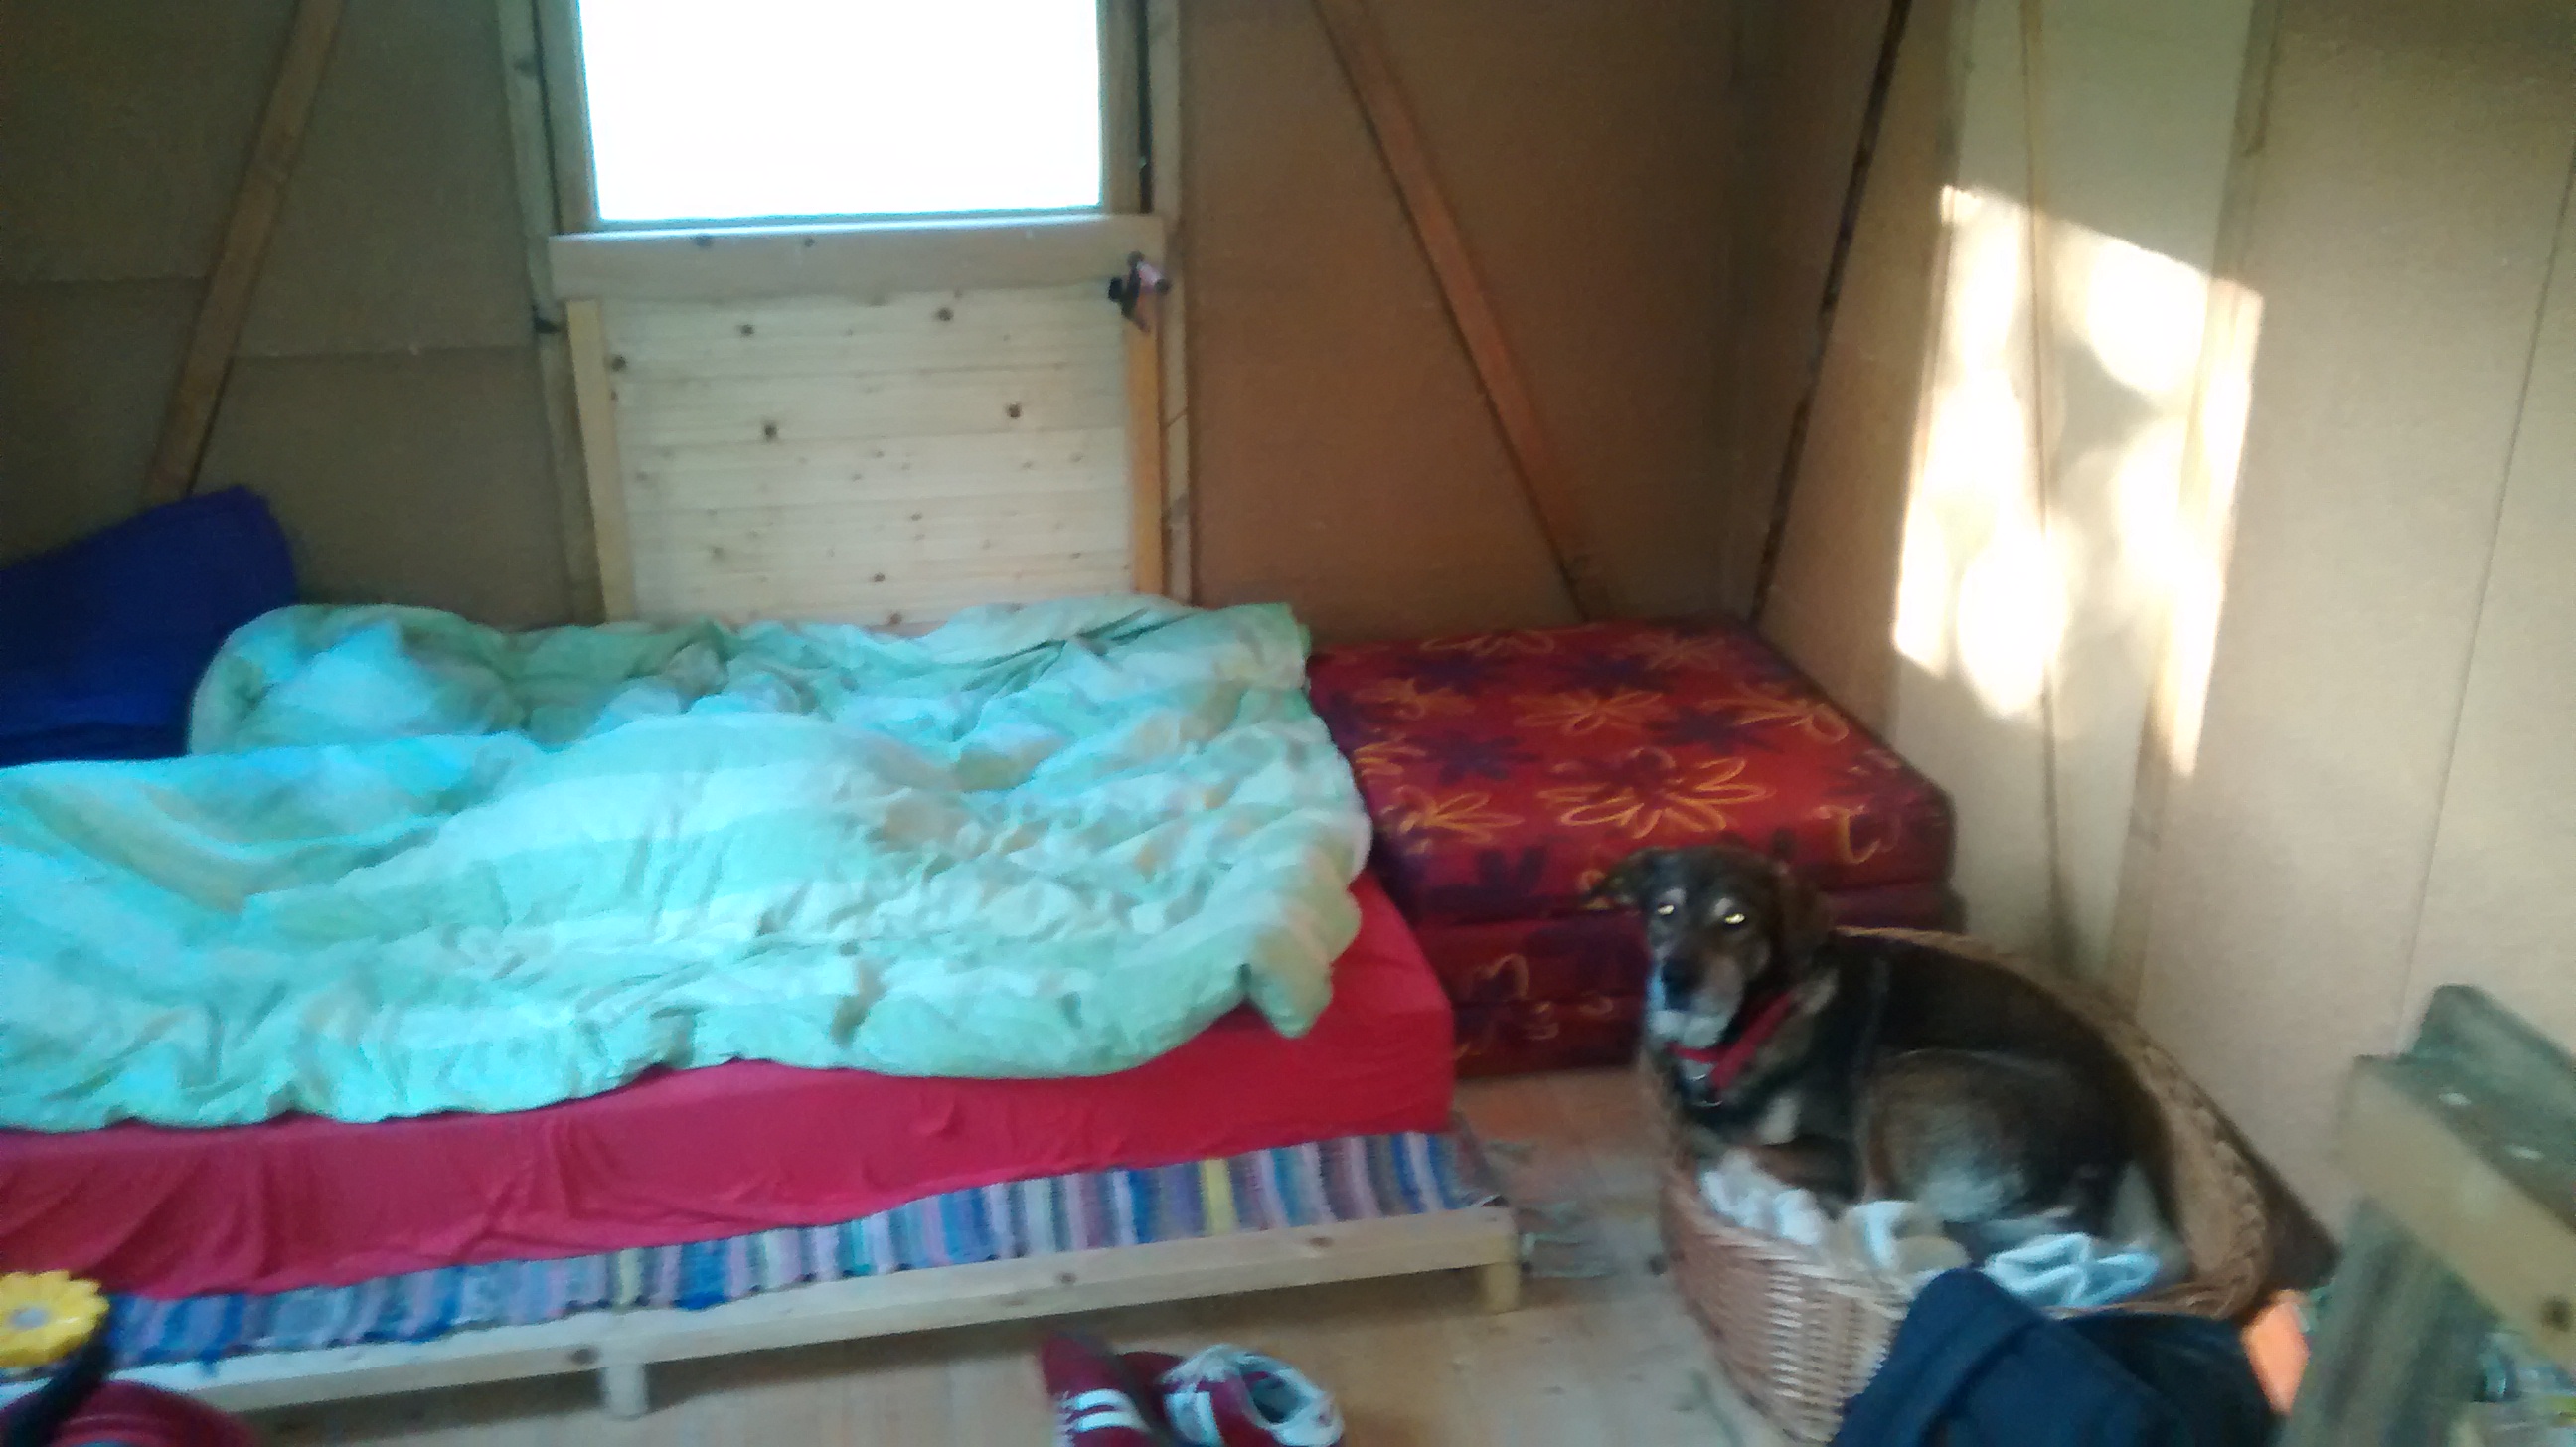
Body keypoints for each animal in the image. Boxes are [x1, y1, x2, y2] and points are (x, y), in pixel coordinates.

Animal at [1597, 843, 2126, 1233]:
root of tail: (2096, 1165)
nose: (1674, 980)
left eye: (1735, 920)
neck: (1751, 1022)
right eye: (1665, 910)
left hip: (1899, 1076)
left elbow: (1735, 1153)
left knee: (1873, 1207)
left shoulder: (1839, 1153)